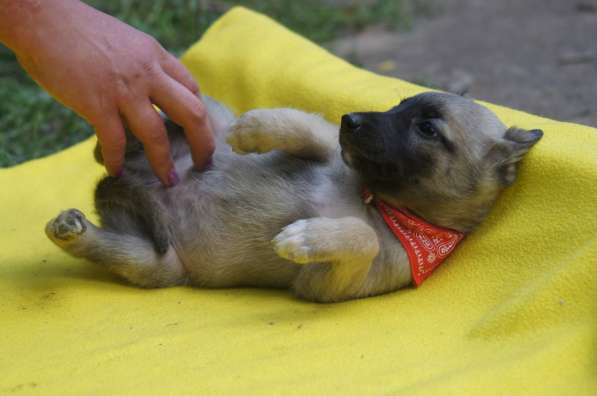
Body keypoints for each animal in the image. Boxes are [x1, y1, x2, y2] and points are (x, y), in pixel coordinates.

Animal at [45, 92, 540, 304]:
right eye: (398, 105)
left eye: (428, 129)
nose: (351, 120)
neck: (377, 202)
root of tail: (117, 185)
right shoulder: (330, 150)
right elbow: (307, 126)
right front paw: (252, 127)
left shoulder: (324, 285)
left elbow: (363, 239)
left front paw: (305, 238)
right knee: (124, 140)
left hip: (157, 264)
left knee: (117, 248)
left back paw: (73, 230)